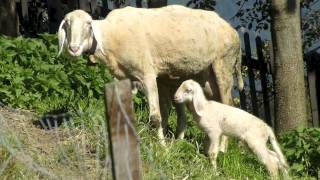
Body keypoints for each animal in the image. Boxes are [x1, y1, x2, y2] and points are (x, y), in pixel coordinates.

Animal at [57, 5, 242, 146]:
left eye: (89, 25)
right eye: (67, 24)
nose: (73, 49)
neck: (111, 37)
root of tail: (233, 31)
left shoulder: (147, 74)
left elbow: (155, 117)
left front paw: (162, 148)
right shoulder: (125, 77)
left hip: (223, 65)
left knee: (228, 105)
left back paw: (224, 148)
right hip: (206, 79)